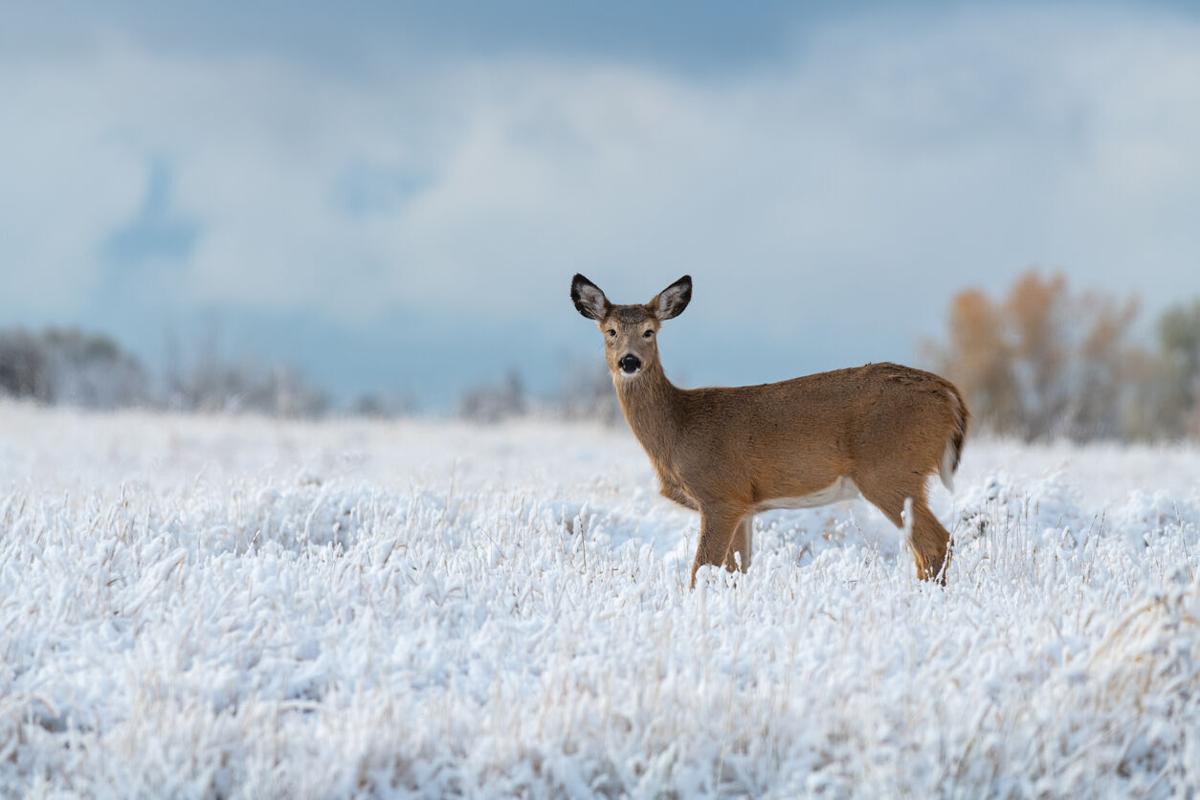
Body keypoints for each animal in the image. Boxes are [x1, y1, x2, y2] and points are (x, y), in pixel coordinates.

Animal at [570, 274, 969, 587]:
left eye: (650, 331)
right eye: (610, 331)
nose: (629, 361)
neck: (678, 427)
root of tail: (950, 394)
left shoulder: (720, 494)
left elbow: (701, 571)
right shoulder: (744, 506)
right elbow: (735, 571)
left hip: (890, 471)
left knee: (935, 543)